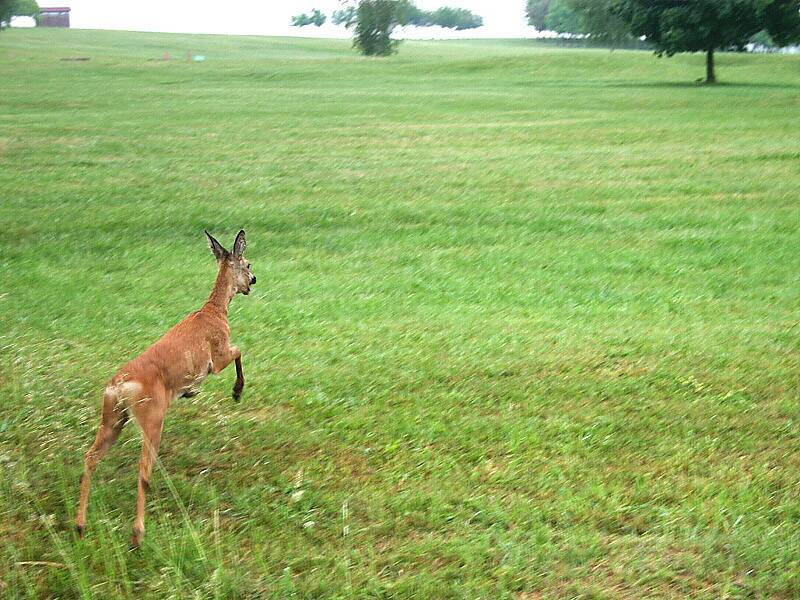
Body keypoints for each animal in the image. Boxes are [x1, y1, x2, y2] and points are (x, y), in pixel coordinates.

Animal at [75, 230, 256, 548]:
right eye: (246, 264)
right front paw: (236, 391)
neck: (216, 311)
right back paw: (137, 534)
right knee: (142, 470)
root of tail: (119, 385)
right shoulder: (217, 356)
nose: (254, 279)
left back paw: (80, 526)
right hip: (152, 415)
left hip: (112, 417)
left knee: (90, 457)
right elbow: (239, 350)